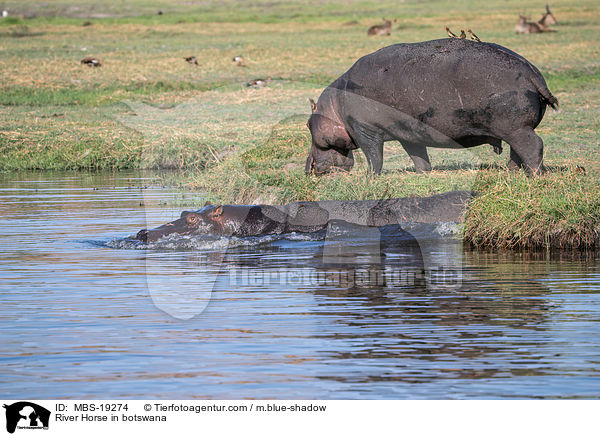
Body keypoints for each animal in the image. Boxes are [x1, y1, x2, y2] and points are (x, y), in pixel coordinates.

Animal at [304, 37, 556, 175]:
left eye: (307, 125)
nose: (309, 168)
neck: (333, 110)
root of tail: (532, 71)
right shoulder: (407, 132)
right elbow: (418, 155)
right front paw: (422, 172)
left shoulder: (364, 129)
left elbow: (373, 156)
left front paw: (370, 177)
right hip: (514, 129)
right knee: (517, 153)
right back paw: (510, 173)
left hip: (516, 128)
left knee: (533, 147)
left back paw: (534, 176)